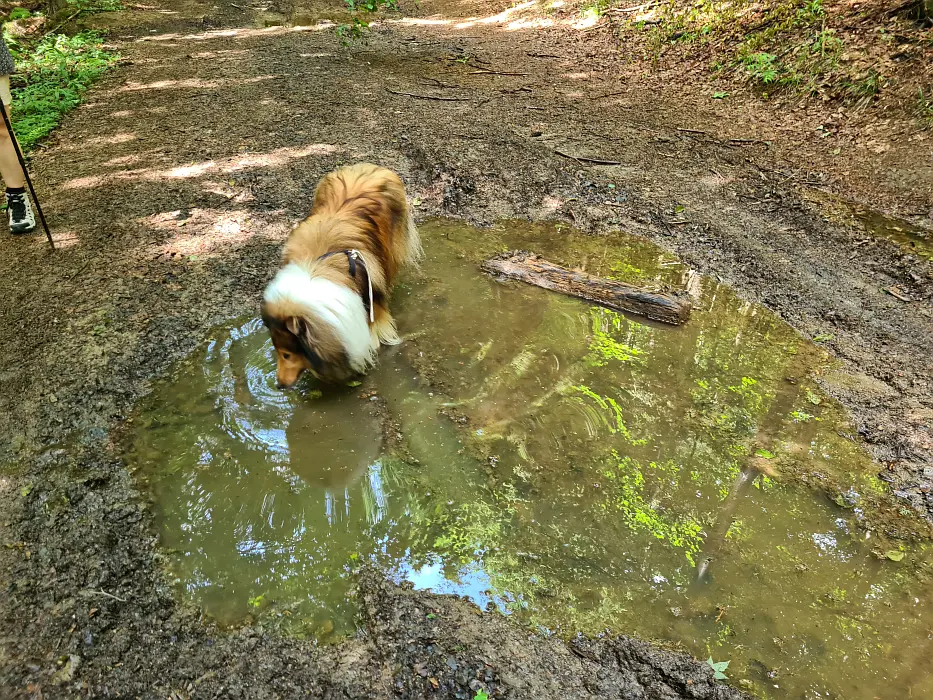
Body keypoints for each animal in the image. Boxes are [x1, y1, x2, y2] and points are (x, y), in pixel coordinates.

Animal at [262, 163, 422, 388]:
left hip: (391, 250)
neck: (317, 267)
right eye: (278, 352)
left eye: (286, 354)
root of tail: (368, 165)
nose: (278, 385)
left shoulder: (372, 301)